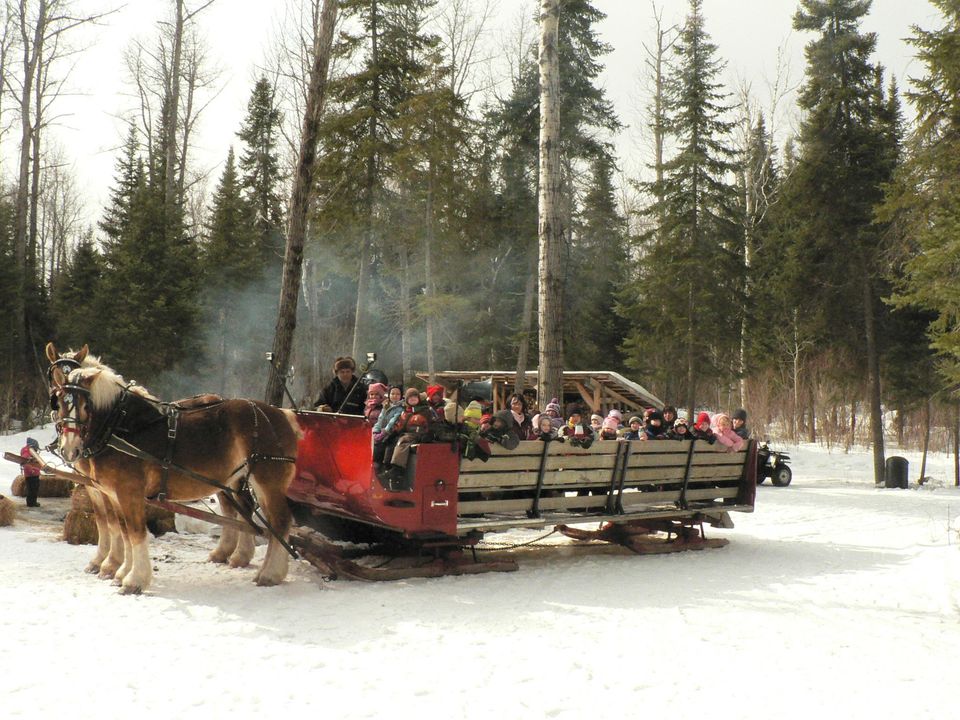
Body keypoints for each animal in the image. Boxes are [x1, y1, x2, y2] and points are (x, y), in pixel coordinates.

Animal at [47, 346, 302, 592]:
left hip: (268, 483)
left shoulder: (128, 492)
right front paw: (120, 572)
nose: (70, 449)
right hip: (239, 481)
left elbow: (134, 532)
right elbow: (122, 530)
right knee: (253, 517)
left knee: (279, 521)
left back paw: (270, 574)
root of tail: (283, 415)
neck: (120, 428)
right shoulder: (111, 493)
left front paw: (133, 580)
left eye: (85, 405)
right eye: (58, 401)